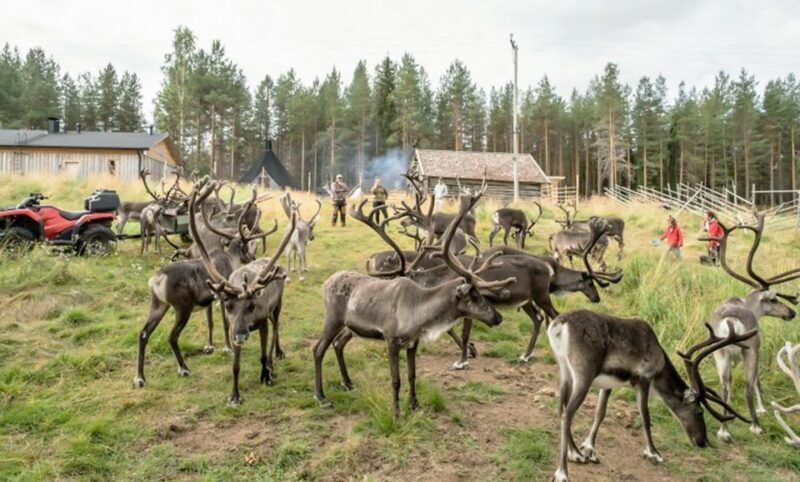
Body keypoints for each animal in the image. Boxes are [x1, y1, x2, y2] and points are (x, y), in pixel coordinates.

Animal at [133, 180, 275, 388]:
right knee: (172, 336)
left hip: (158, 305)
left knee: (143, 334)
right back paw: (183, 369)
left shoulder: (209, 299)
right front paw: (227, 348)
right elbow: (225, 323)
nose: (252, 257)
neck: (229, 258)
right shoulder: (223, 297)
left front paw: (210, 346)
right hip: (182, 308)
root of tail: (157, 279)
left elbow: (210, 321)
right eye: (245, 246)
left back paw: (140, 377)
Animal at [189, 180, 296, 406]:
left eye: (251, 305)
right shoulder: (232, 326)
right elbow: (235, 366)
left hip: (278, 306)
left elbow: (263, 354)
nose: (240, 335)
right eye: (229, 306)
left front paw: (266, 375)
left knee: (276, 328)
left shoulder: (262, 322)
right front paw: (235, 396)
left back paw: (276, 356)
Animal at [312, 187, 516, 417]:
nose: (498, 316)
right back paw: (321, 397)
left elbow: (412, 375)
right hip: (332, 319)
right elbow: (396, 380)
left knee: (338, 344)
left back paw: (347, 383)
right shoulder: (391, 340)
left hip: (350, 326)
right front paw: (397, 413)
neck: (418, 312)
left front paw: (415, 405)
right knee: (318, 349)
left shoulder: (412, 343)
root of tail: (326, 282)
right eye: (473, 296)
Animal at [549, 310, 757, 482]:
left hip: (565, 371)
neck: (660, 362)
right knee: (567, 413)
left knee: (561, 409)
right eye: (699, 412)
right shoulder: (644, 379)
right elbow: (646, 417)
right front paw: (653, 453)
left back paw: (575, 454)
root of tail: (560, 324)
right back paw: (562, 472)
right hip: (584, 374)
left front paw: (589, 449)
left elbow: (600, 413)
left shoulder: (608, 383)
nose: (703, 442)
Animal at [698, 213, 799, 442]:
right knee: (748, 387)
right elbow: (757, 381)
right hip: (749, 349)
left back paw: (724, 431)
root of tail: (731, 322)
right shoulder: (757, 346)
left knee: (725, 385)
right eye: (774, 300)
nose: (791, 312)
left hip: (720, 353)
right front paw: (762, 409)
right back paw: (756, 426)